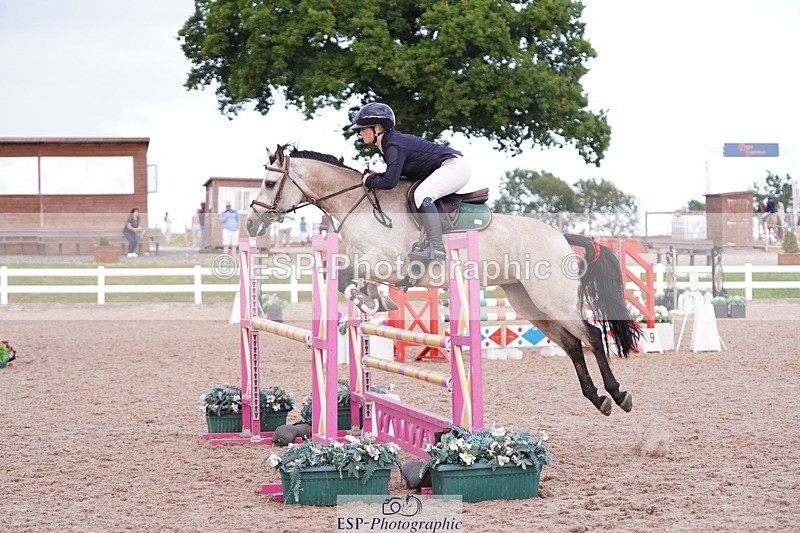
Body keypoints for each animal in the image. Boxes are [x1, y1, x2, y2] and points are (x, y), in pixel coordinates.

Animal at [246, 144, 641, 416]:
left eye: (269, 182)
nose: (250, 223)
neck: (356, 205)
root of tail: (560, 235)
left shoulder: (385, 262)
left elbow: (347, 275)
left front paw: (369, 298)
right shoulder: (363, 261)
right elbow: (342, 274)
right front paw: (370, 299)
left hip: (551, 298)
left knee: (592, 335)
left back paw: (618, 394)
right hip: (526, 301)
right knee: (572, 345)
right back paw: (599, 399)